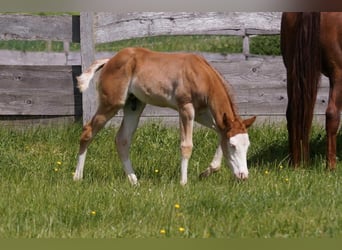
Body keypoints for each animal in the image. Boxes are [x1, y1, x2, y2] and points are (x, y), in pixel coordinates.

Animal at [73, 47, 255, 185]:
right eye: (233, 146)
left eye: (247, 146)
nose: (243, 176)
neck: (201, 74)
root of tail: (110, 59)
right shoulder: (185, 108)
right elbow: (186, 145)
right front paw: (183, 183)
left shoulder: (202, 113)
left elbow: (220, 132)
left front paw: (207, 171)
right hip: (111, 103)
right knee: (88, 131)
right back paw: (77, 177)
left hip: (134, 106)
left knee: (122, 140)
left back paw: (134, 181)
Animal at [280, 11, 342, 168]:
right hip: (338, 74)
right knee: (332, 114)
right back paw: (331, 166)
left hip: (293, 72)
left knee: (295, 114)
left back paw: (298, 164)